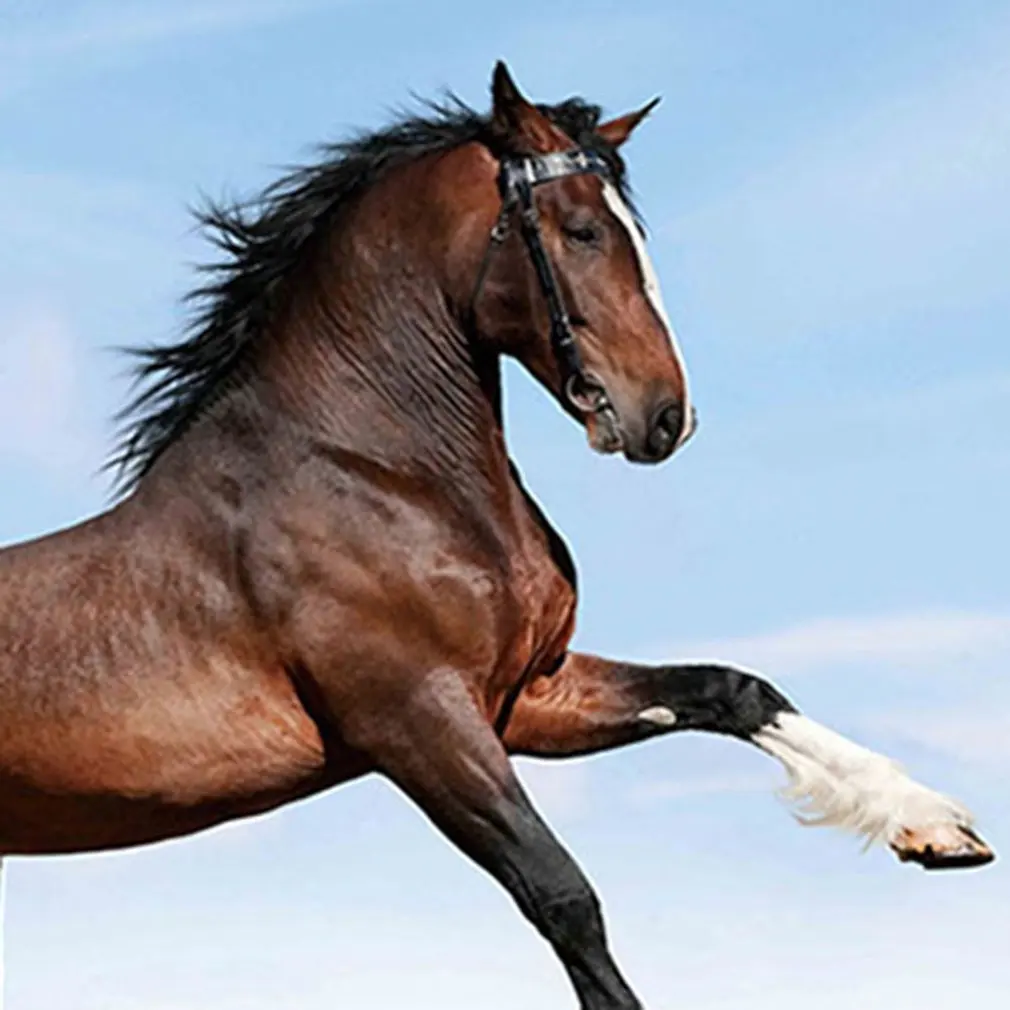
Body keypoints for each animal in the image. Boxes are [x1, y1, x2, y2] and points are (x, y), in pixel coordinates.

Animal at [0, 61, 994, 1009]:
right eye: (580, 230)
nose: (664, 417)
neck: (375, 475)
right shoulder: (419, 721)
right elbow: (562, 896)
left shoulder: (527, 696)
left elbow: (730, 690)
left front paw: (933, 826)